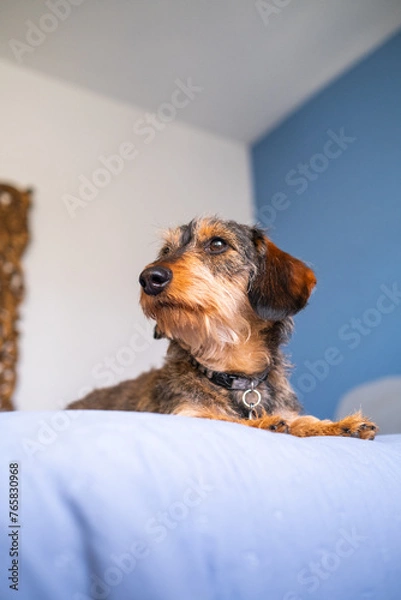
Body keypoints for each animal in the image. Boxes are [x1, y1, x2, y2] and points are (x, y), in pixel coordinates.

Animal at [67, 218, 376, 438]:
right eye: (166, 251)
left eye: (217, 244)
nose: (149, 277)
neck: (233, 373)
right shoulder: (185, 413)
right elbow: (223, 419)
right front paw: (265, 423)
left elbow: (298, 419)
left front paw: (337, 425)